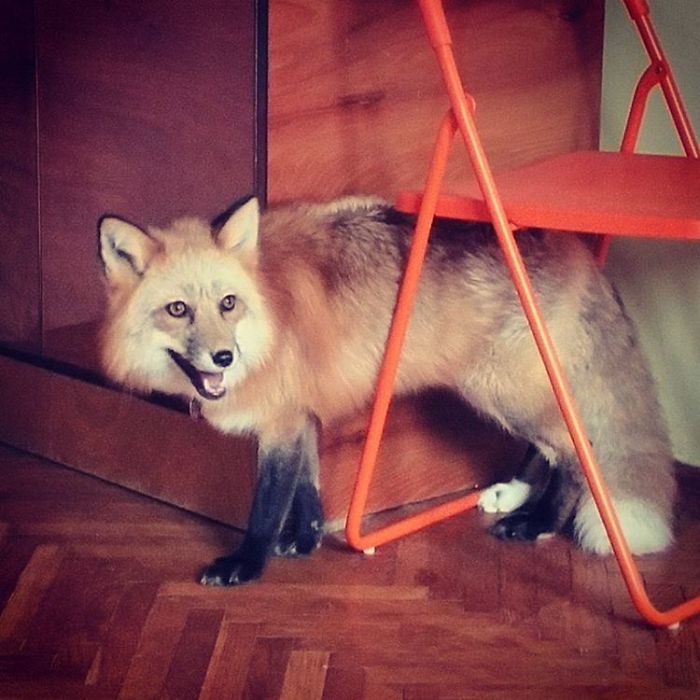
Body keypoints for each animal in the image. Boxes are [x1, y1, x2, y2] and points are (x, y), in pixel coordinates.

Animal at [97, 194, 676, 586]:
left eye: (227, 304)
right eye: (177, 309)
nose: (224, 358)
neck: (269, 311)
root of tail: (573, 246)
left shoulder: (281, 422)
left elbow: (266, 503)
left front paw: (247, 564)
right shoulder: (301, 415)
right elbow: (307, 487)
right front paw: (306, 539)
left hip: (501, 392)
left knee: (581, 451)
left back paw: (539, 523)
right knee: (552, 450)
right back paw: (514, 496)